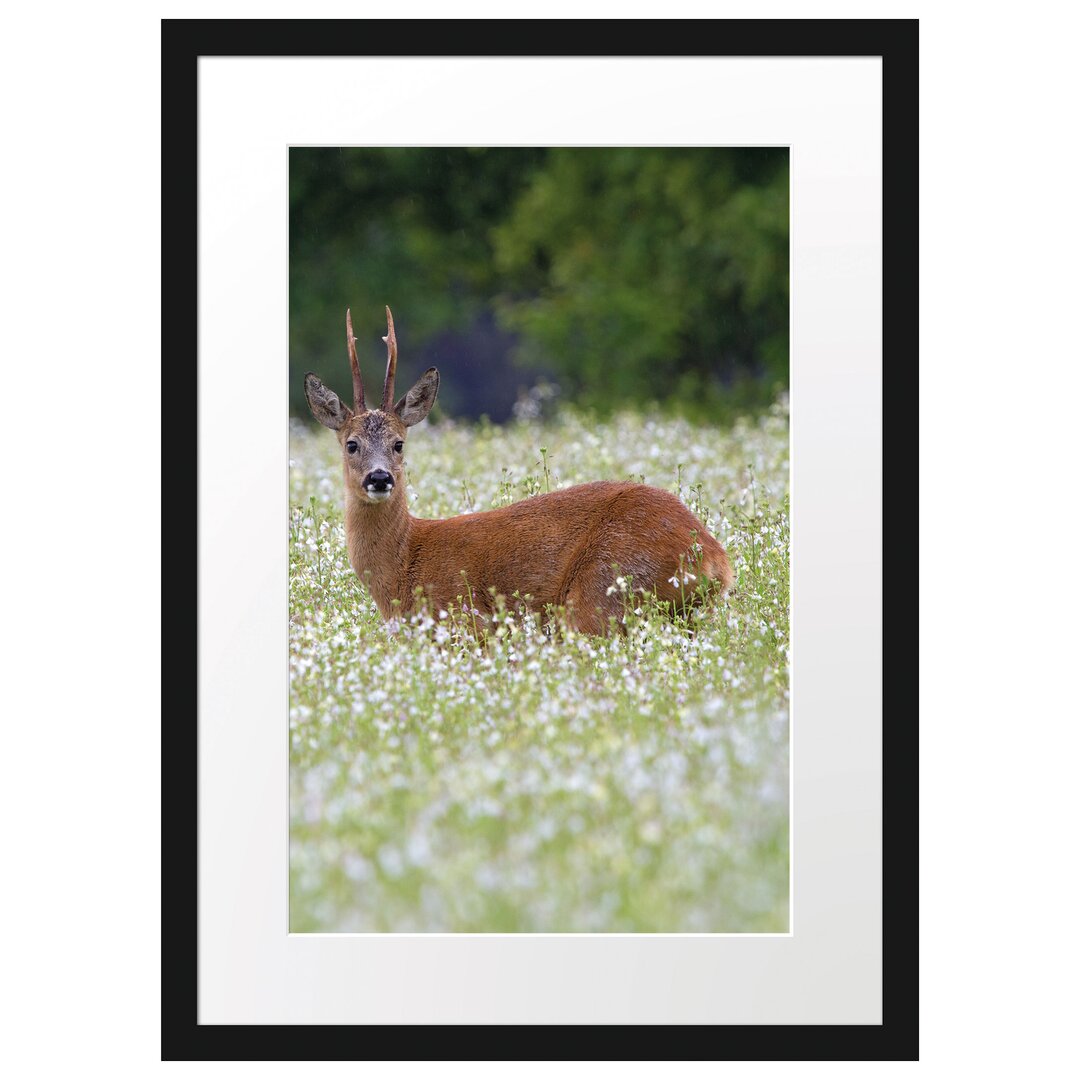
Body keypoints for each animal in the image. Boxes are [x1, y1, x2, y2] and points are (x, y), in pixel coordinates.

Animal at [302, 308, 734, 635]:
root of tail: (715, 558)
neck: (404, 565)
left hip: (604, 592)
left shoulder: (466, 622)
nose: (379, 478)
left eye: (399, 444)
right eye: (351, 444)